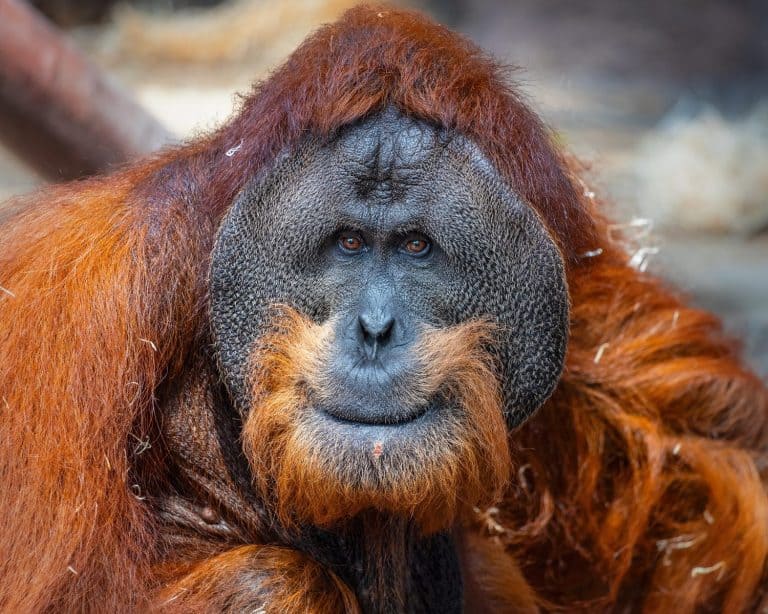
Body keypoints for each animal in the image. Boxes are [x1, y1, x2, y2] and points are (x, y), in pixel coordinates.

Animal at [1, 6, 766, 613]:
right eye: (347, 242)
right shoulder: (85, 317)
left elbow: (701, 453)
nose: (374, 329)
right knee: (271, 586)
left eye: (416, 246)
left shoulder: (575, 269)